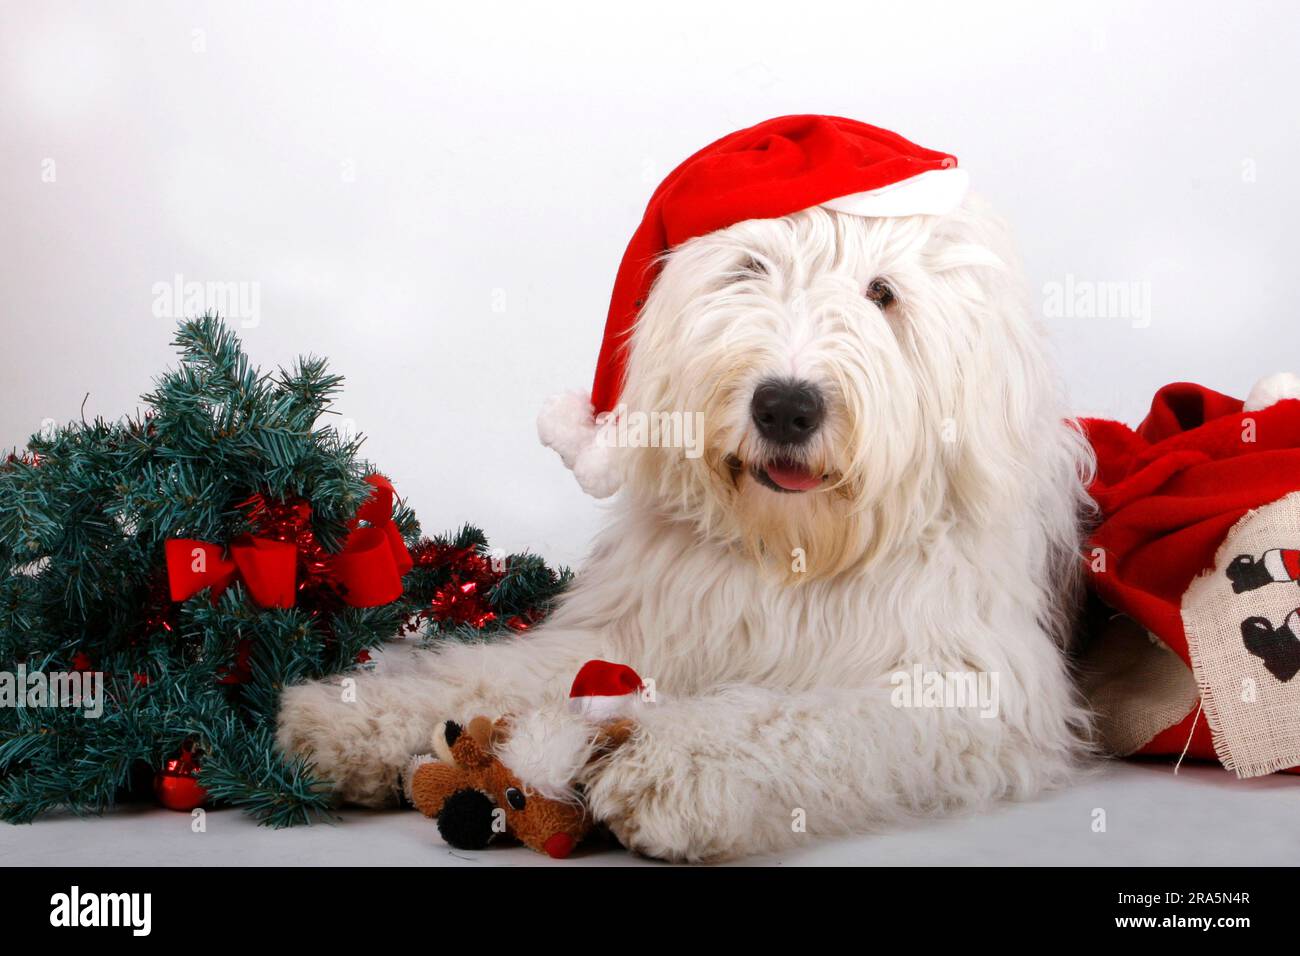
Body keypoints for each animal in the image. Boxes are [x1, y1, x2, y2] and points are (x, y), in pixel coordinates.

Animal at [276, 117, 1097, 858]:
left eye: (882, 293)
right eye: (750, 269)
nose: (786, 406)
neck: (793, 555)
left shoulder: (963, 685)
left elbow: (800, 721)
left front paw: (676, 768)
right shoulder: (636, 631)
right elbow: (486, 673)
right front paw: (355, 716)